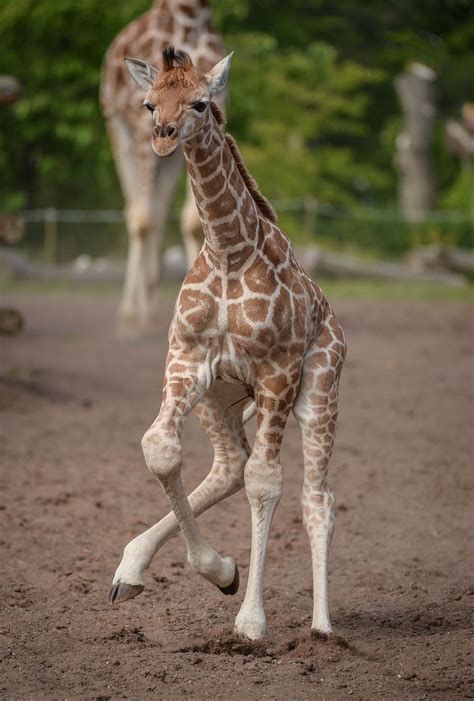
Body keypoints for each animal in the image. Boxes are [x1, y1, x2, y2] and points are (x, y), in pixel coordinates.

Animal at [99, 0, 224, 340]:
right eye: (149, 104)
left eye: (200, 104)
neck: (191, 19)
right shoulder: (144, 124)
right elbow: (143, 218)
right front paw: (134, 319)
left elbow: (195, 219)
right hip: (118, 126)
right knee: (137, 211)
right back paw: (131, 313)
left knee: (157, 207)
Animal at [110, 47, 348, 640]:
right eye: (150, 103)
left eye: (200, 101)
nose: (164, 137)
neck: (227, 251)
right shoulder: (187, 361)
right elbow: (160, 449)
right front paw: (219, 570)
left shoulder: (278, 374)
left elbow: (267, 483)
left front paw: (251, 621)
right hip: (218, 399)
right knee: (228, 467)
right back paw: (132, 567)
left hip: (319, 392)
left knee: (316, 498)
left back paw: (323, 628)